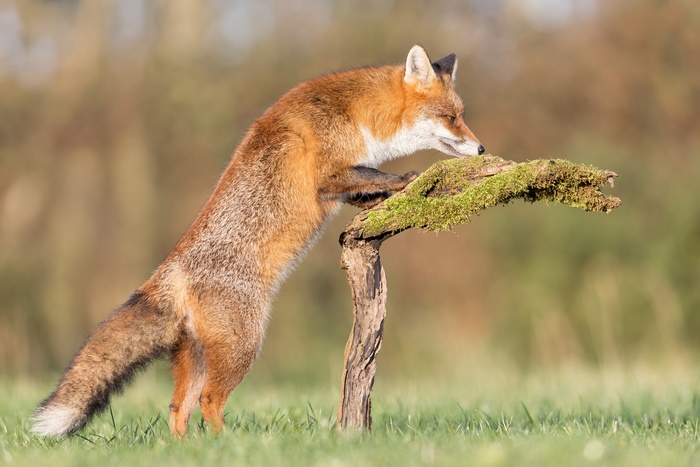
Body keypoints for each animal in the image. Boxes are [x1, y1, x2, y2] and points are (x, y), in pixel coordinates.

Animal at [31, 45, 484, 438]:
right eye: (450, 117)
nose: (481, 148)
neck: (356, 114)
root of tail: (168, 272)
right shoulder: (328, 175)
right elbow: (377, 176)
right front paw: (409, 179)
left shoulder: (339, 184)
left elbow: (365, 189)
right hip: (243, 346)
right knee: (209, 401)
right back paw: (226, 446)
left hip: (198, 358)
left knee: (179, 410)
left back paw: (189, 451)